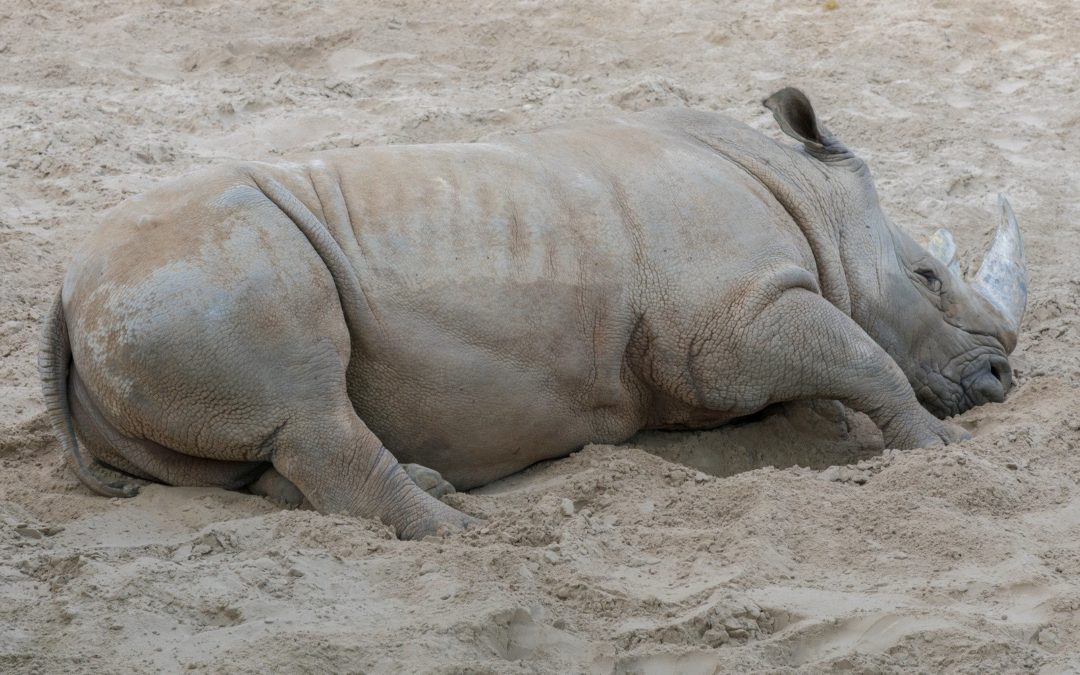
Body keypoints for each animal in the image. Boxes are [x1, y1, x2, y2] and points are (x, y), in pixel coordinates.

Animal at [40, 88, 1027, 539]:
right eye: (929, 275)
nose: (1001, 377)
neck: (809, 195)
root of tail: (67, 286)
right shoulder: (734, 320)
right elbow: (866, 356)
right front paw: (944, 451)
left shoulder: (723, 334)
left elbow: (825, 383)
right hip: (203, 271)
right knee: (306, 409)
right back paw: (461, 531)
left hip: (145, 299)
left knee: (254, 449)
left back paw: (436, 491)